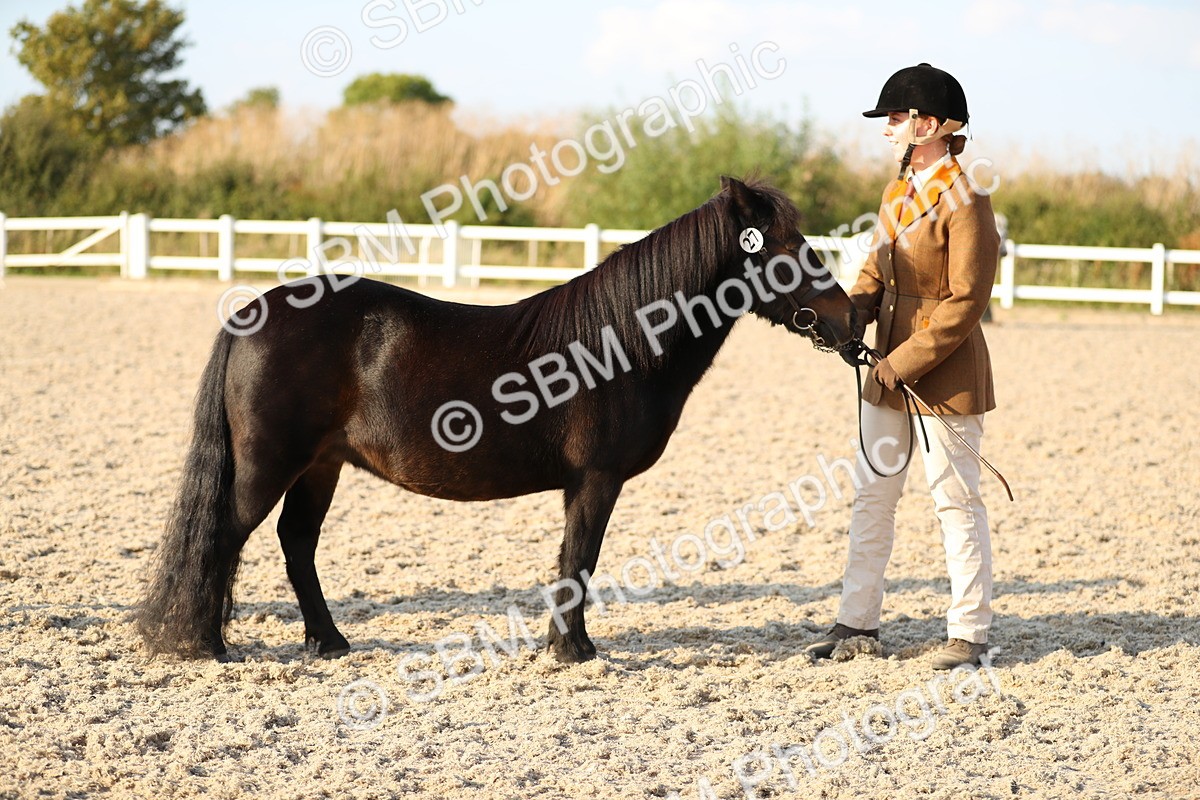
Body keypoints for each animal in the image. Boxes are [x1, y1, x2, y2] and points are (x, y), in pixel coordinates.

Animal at [136, 177, 857, 664]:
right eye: (791, 249)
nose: (852, 319)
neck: (620, 342)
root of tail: (251, 314)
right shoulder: (596, 480)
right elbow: (581, 558)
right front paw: (573, 650)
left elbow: (573, 559)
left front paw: (564, 645)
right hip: (270, 464)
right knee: (225, 537)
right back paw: (205, 643)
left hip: (321, 466)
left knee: (296, 543)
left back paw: (329, 640)